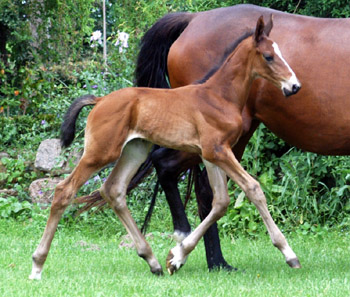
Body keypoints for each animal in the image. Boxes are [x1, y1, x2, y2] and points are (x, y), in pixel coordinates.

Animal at [28, 16, 300, 278]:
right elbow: (253, 188)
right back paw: (37, 265)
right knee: (64, 191)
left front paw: (176, 257)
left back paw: (153, 261)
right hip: (100, 152)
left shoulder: (212, 154)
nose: (294, 86)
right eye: (269, 56)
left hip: (135, 150)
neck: (219, 96)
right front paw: (289, 253)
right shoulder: (218, 151)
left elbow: (221, 202)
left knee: (113, 190)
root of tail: (100, 99)